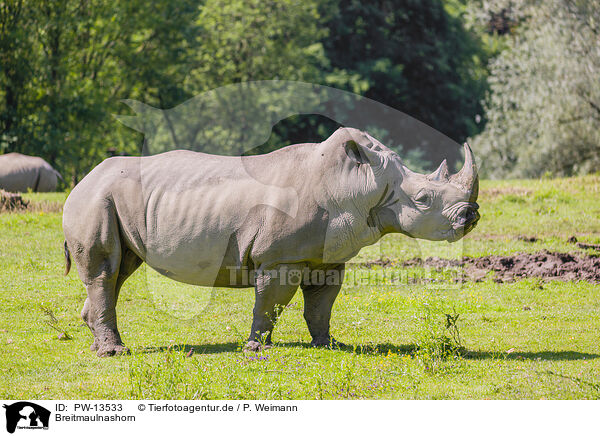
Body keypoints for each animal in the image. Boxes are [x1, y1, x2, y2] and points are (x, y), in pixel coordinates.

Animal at [63, 127, 480, 358]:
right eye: (423, 199)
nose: (471, 216)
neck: (358, 184)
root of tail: (81, 180)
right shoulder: (281, 256)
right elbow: (270, 304)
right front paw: (255, 349)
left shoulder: (328, 257)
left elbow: (321, 306)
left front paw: (328, 345)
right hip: (95, 199)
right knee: (106, 270)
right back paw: (114, 353)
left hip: (112, 200)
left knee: (119, 270)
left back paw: (97, 344)